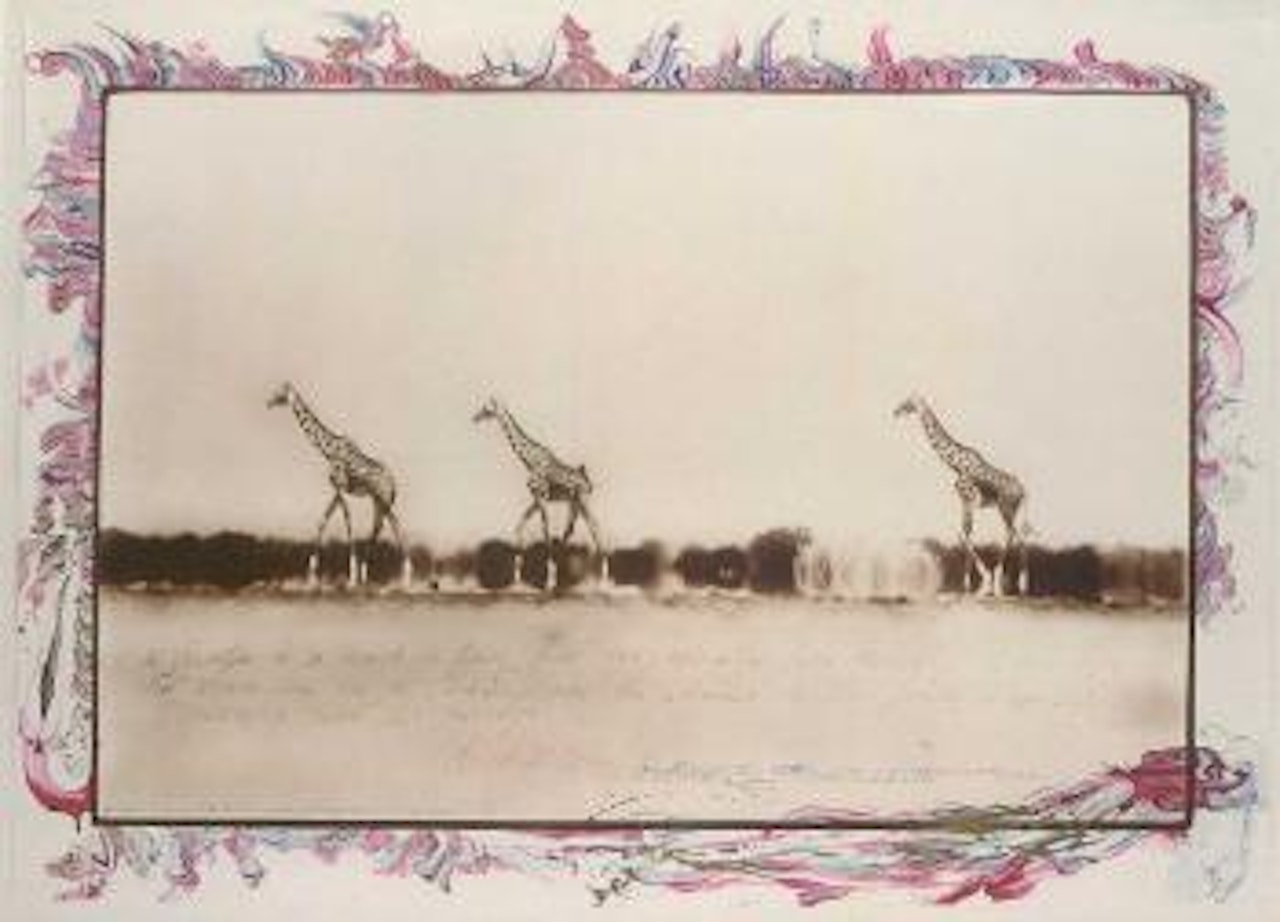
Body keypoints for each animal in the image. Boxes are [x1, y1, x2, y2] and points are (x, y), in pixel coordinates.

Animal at [267, 384, 412, 586]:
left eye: (279, 392)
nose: (268, 402)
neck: (328, 450)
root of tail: (393, 481)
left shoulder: (341, 486)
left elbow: (346, 520)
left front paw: (352, 577)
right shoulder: (337, 489)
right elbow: (323, 520)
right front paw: (311, 576)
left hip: (383, 498)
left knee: (395, 526)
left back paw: (404, 579)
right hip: (377, 500)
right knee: (382, 526)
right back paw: (374, 576)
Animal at [473, 394, 606, 583]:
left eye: (487, 407)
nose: (475, 417)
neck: (530, 461)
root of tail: (588, 482)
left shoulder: (541, 497)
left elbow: (546, 531)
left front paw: (548, 581)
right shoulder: (536, 498)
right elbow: (520, 525)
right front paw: (518, 580)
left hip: (583, 500)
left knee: (595, 529)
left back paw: (603, 581)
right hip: (574, 502)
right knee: (572, 530)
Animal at [896, 391, 1034, 594]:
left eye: (908, 401)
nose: (895, 411)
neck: (956, 464)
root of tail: (1024, 490)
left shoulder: (970, 501)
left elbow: (963, 533)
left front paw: (984, 581)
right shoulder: (964, 502)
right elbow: (966, 532)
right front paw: (968, 584)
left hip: (1005, 507)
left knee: (1013, 534)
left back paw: (1011, 583)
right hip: (1011, 509)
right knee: (1018, 535)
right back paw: (1016, 584)